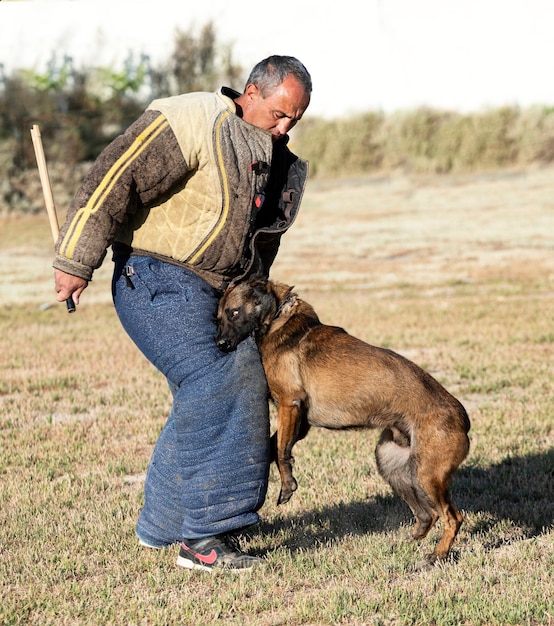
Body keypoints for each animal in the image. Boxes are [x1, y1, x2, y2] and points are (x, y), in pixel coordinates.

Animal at [213, 276, 468, 560]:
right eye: (218, 317)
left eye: (234, 313)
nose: (220, 344)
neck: (279, 314)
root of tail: (462, 418)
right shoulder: (301, 421)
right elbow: (272, 447)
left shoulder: (290, 405)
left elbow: (280, 451)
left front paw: (287, 486)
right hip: (397, 467)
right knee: (428, 515)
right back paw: (407, 544)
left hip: (426, 475)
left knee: (453, 517)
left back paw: (438, 554)